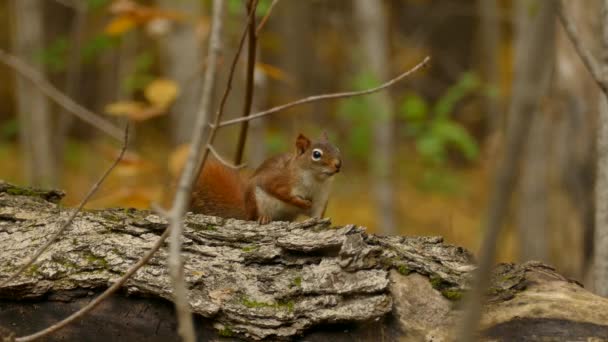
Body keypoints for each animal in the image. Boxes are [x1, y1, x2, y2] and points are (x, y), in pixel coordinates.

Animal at [191, 132, 342, 223]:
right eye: (316, 154)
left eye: (337, 149)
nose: (338, 165)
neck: (316, 180)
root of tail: (246, 211)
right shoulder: (279, 181)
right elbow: (281, 193)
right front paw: (302, 203)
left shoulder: (321, 198)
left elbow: (317, 213)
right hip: (256, 200)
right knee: (253, 218)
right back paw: (263, 217)